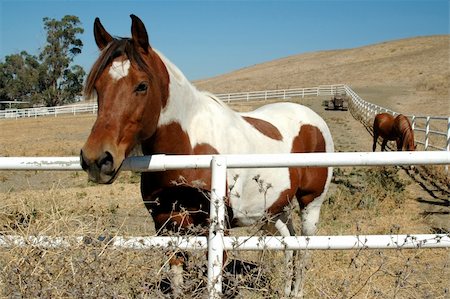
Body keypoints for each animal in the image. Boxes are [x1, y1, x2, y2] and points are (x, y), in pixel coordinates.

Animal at [81, 14, 334, 298]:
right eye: (98, 87)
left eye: (142, 85)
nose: (96, 159)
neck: (188, 150)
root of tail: (313, 120)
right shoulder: (166, 226)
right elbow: (177, 279)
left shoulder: (216, 232)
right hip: (273, 210)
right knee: (289, 241)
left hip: (311, 204)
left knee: (304, 248)